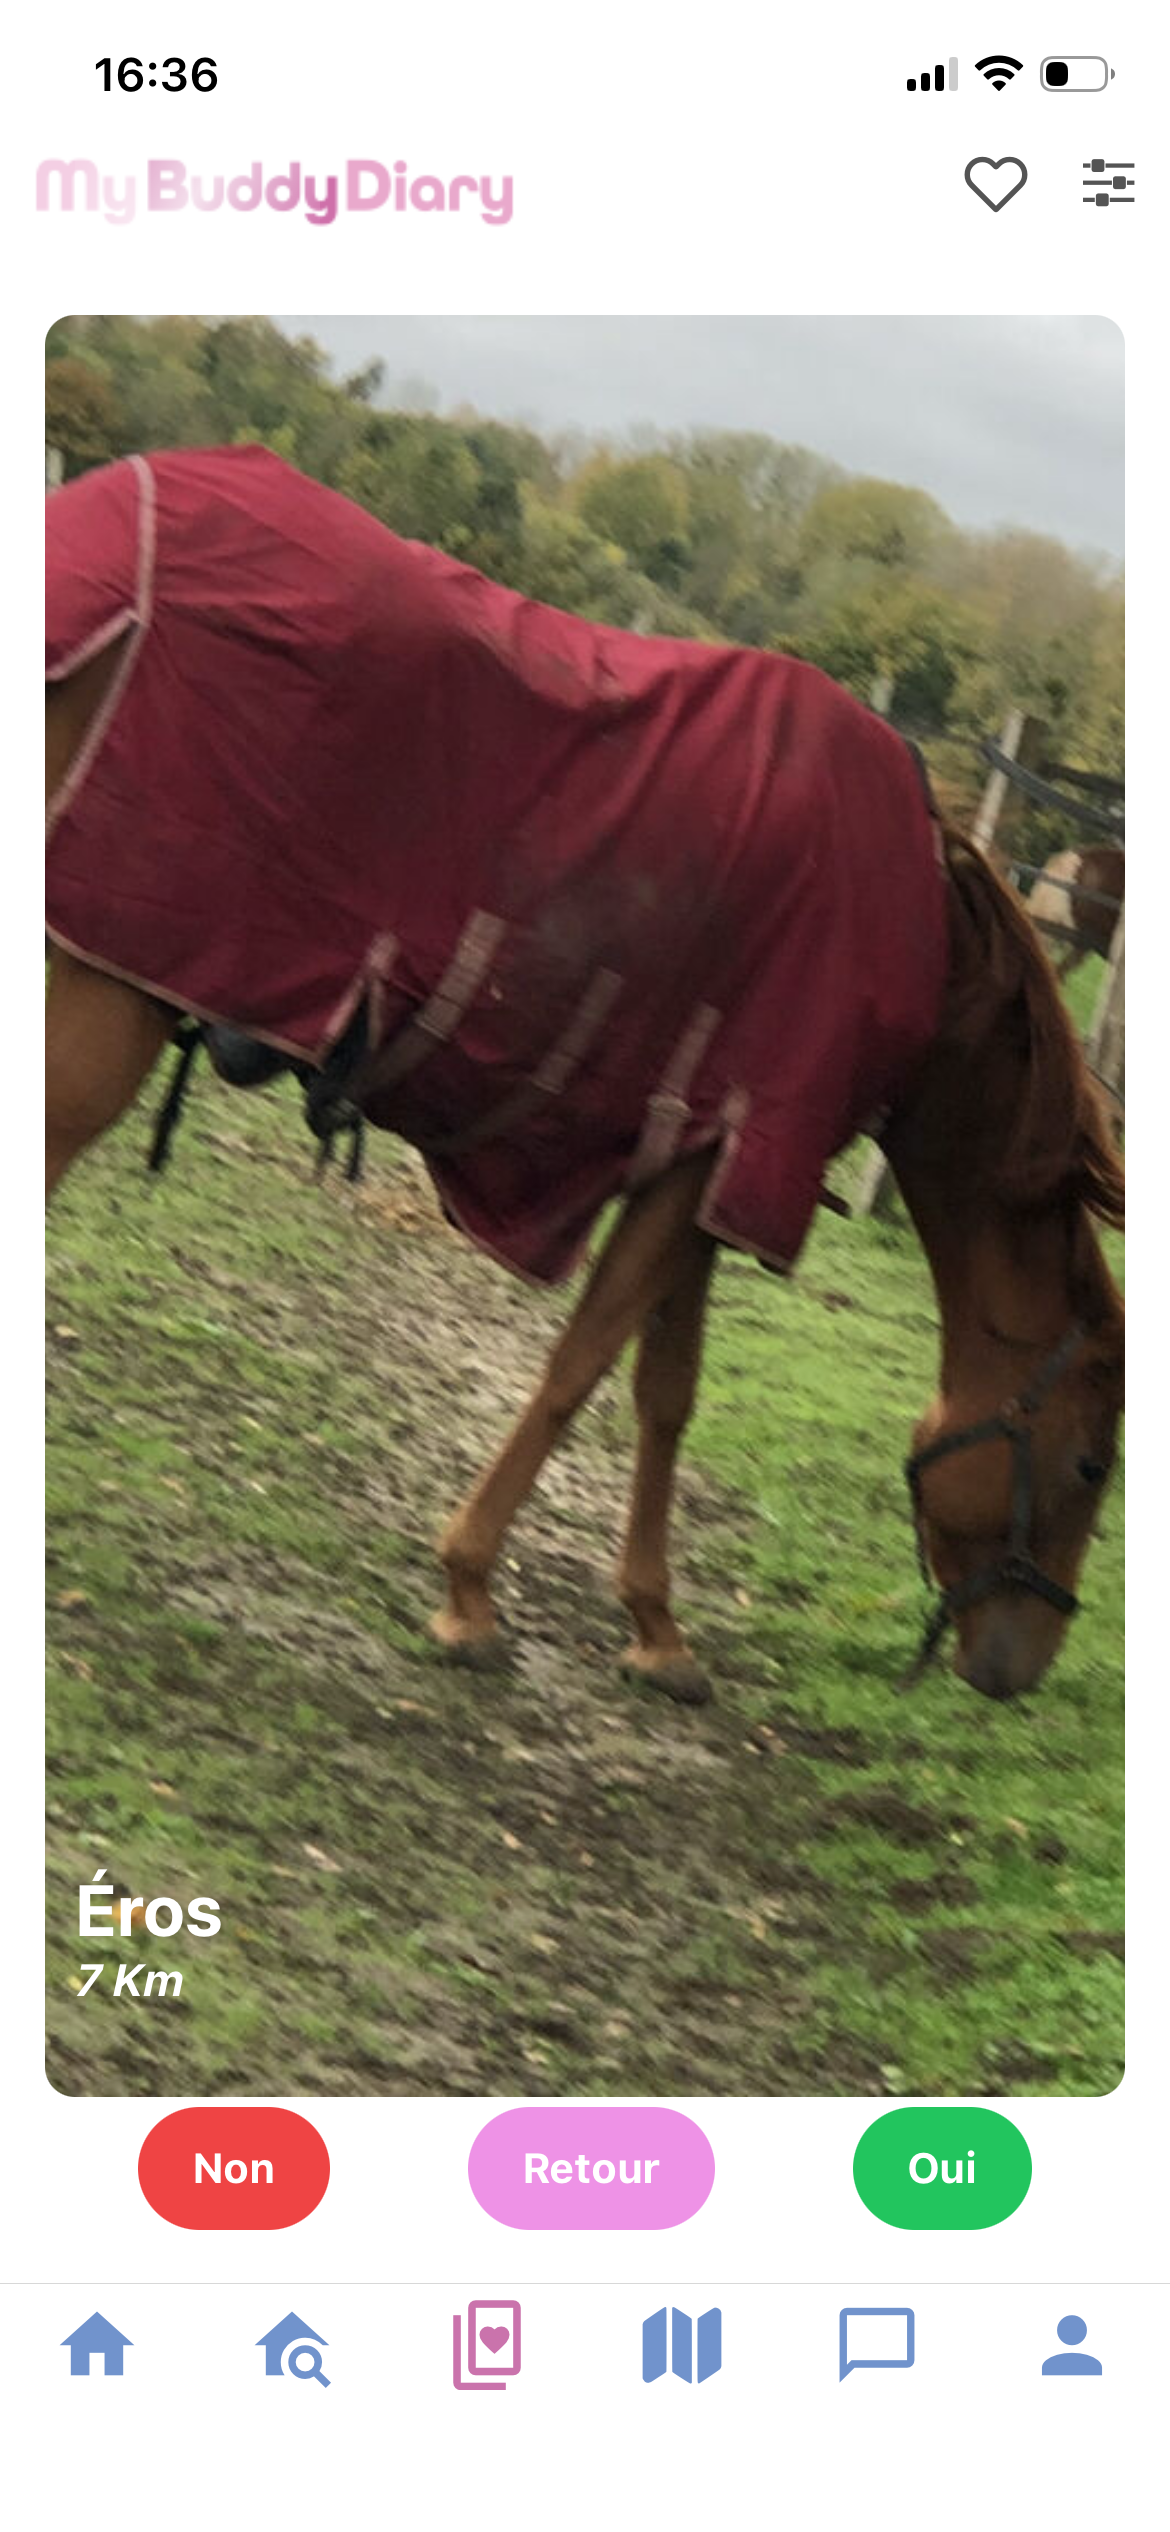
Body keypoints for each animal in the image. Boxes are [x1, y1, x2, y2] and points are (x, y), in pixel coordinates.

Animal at [47, 449, 1124, 1707]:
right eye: (1091, 1463)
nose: (1019, 1665)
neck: (922, 941)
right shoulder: (723, 1158)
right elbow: (581, 1365)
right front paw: (469, 1592)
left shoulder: (711, 1173)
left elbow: (667, 1388)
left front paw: (655, 1627)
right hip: (106, 1002)